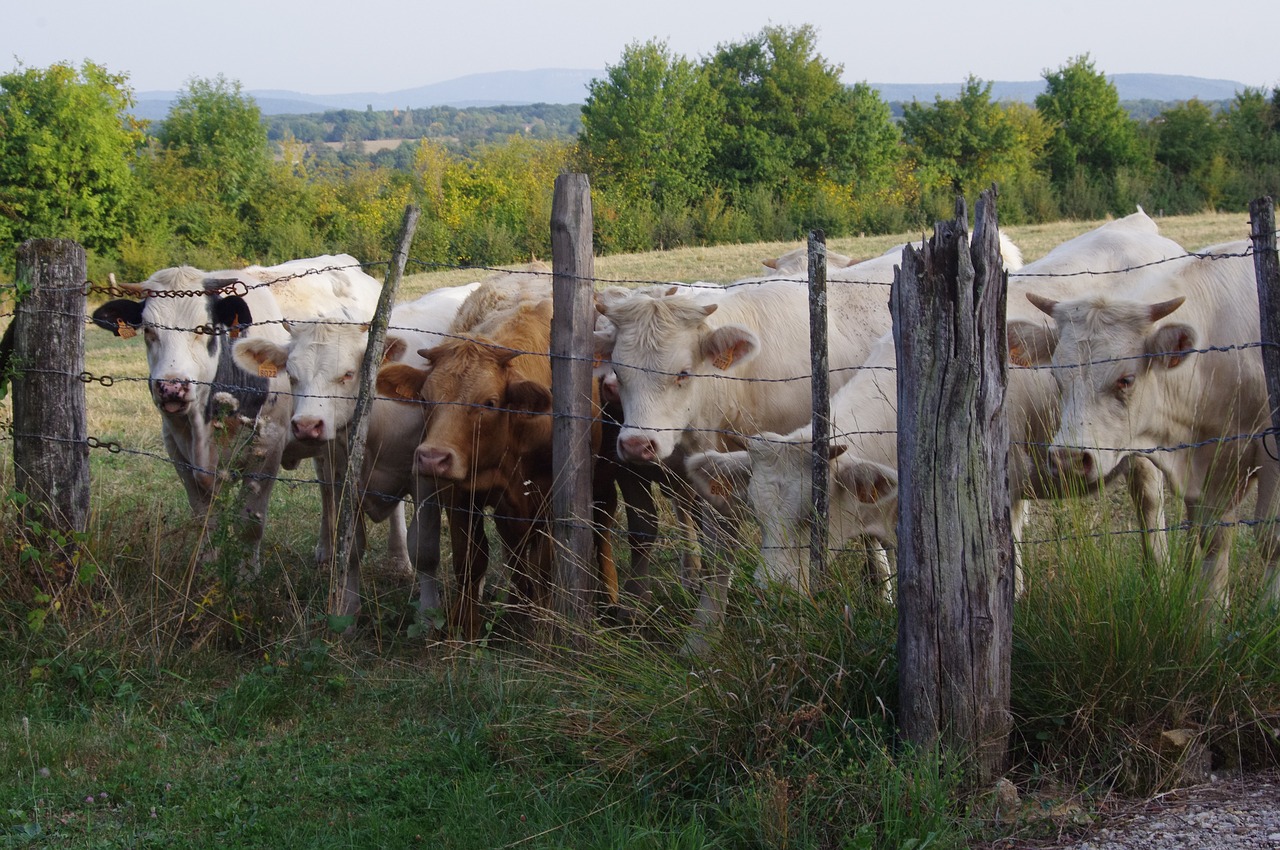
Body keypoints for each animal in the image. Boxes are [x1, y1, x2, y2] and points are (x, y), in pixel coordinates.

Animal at [92, 252, 376, 570]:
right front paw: (206, 567)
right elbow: (205, 518)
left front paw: (246, 573)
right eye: (149, 331)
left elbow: (249, 523)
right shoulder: (177, 450)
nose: (171, 387)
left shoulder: (268, 446)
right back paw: (326, 551)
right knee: (328, 487)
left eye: (204, 329)